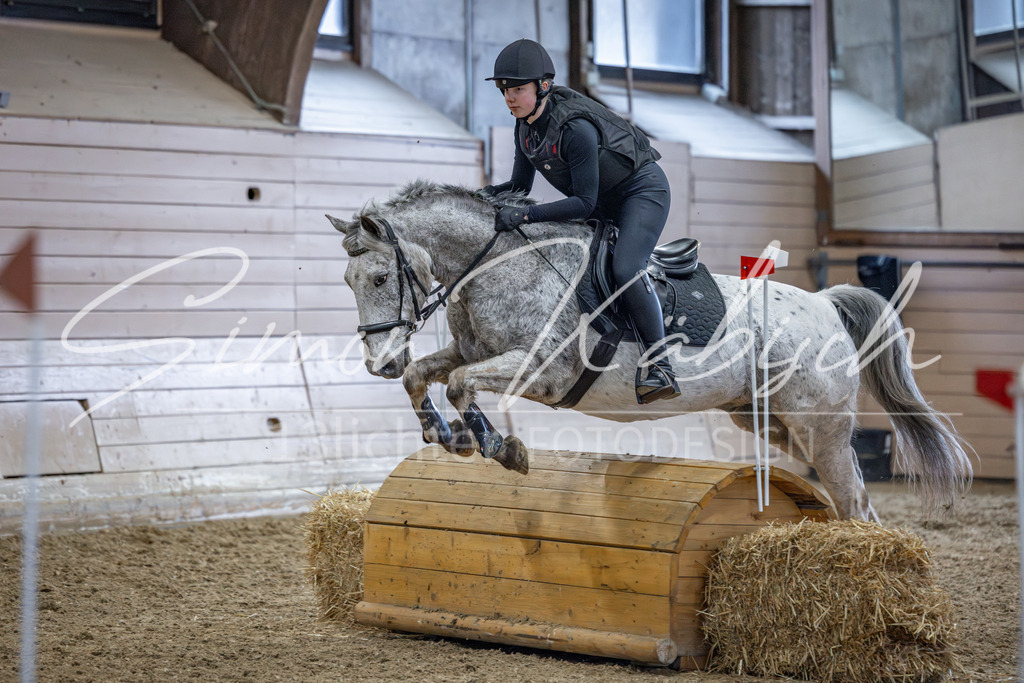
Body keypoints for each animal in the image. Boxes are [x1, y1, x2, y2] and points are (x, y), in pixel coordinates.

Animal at [326, 180, 972, 521]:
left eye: (380, 278)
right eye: (348, 282)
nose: (378, 362)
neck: (497, 263)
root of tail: (824, 305)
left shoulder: (545, 370)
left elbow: (461, 384)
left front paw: (500, 448)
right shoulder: (470, 351)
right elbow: (425, 376)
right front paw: (446, 435)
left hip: (819, 425)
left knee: (854, 497)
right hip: (769, 420)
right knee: (843, 492)